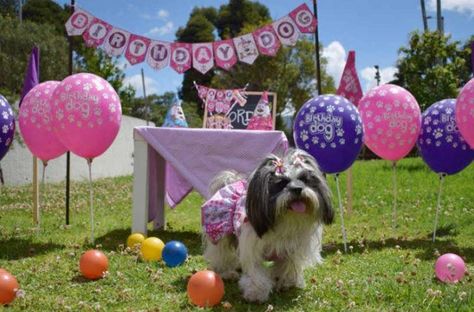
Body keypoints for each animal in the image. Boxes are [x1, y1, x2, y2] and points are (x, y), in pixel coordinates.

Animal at [200, 149, 334, 302]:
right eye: (281, 183)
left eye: (305, 180)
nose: (298, 189)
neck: (286, 221)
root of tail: (230, 182)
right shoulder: (252, 248)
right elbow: (255, 271)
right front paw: (256, 293)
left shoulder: (291, 249)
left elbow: (288, 265)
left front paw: (287, 282)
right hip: (221, 232)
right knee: (222, 254)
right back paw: (227, 273)